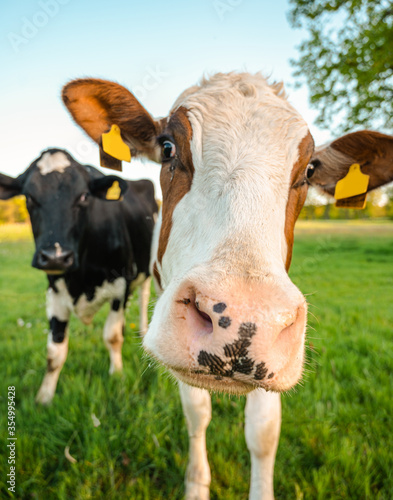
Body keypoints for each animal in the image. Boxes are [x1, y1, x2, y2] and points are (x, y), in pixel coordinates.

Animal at [0, 148, 156, 402]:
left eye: (84, 196)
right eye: (29, 197)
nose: (55, 256)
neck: (81, 278)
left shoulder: (120, 285)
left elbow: (112, 336)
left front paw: (117, 375)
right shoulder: (54, 292)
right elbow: (54, 351)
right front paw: (44, 398)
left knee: (144, 298)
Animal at [61, 74, 392, 500]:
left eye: (309, 170)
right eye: (167, 147)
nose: (245, 317)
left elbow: (263, 432)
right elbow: (197, 414)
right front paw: (197, 484)